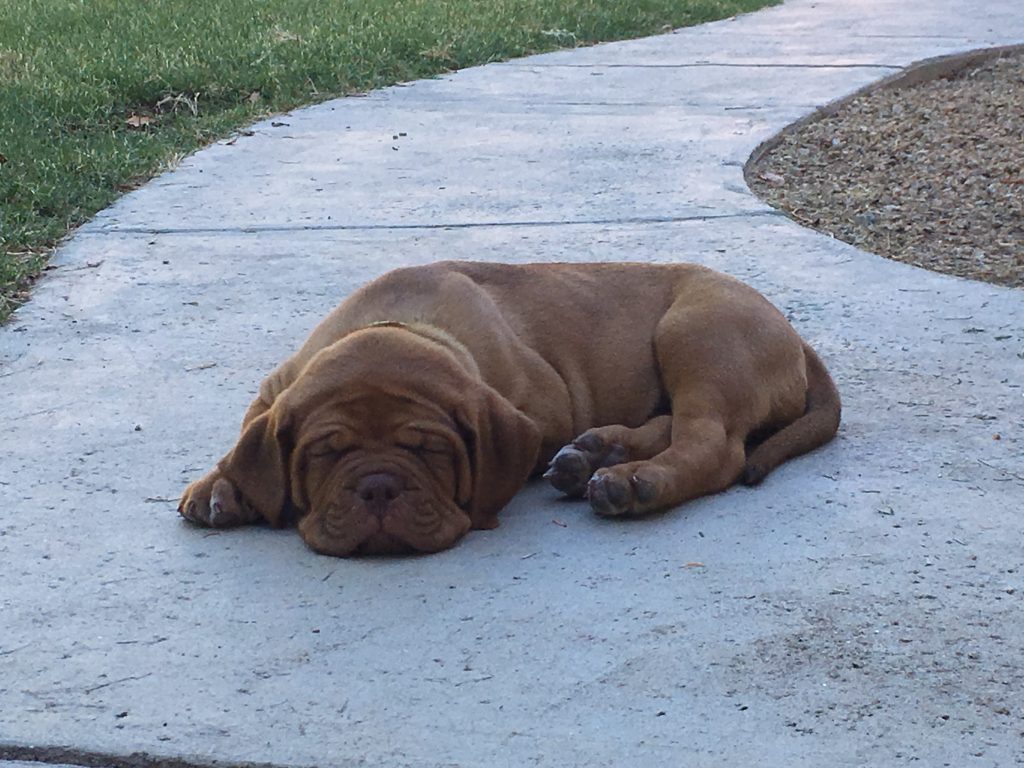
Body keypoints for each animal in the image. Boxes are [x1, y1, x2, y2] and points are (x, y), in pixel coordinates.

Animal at [178, 262, 839, 557]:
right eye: (324, 454)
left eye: (432, 451)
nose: (378, 488)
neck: (400, 324)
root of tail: (790, 331)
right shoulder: (277, 388)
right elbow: (248, 437)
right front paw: (221, 484)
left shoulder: (537, 406)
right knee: (674, 424)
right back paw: (595, 454)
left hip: (695, 334)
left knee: (714, 444)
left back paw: (631, 481)